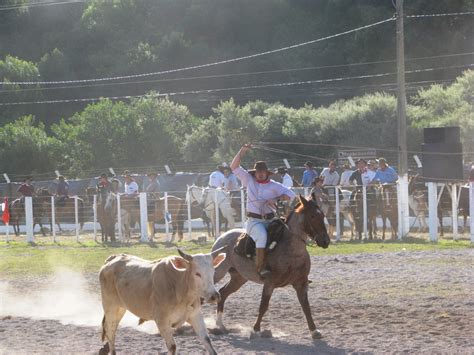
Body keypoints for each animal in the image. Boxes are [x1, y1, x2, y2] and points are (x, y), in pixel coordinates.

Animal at [211, 196, 330, 340]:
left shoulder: (301, 283)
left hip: (239, 278)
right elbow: (263, 305)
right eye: (312, 216)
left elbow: (306, 307)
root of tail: (222, 237)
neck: (293, 252)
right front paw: (256, 330)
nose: (326, 241)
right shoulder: (269, 283)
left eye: (322, 214)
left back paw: (220, 325)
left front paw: (314, 330)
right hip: (218, 272)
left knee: (222, 293)